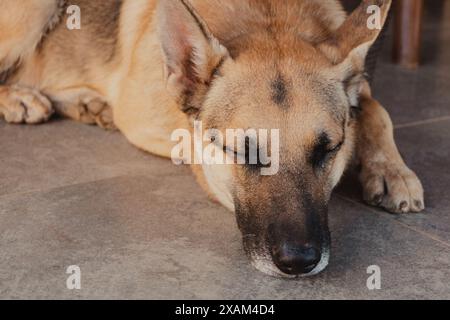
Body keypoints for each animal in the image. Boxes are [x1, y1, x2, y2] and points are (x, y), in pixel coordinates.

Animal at [0, 0, 424, 278]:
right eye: (244, 151)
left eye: (328, 150)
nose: (300, 263)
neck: (270, 15)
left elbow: (375, 110)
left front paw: (392, 170)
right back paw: (20, 97)